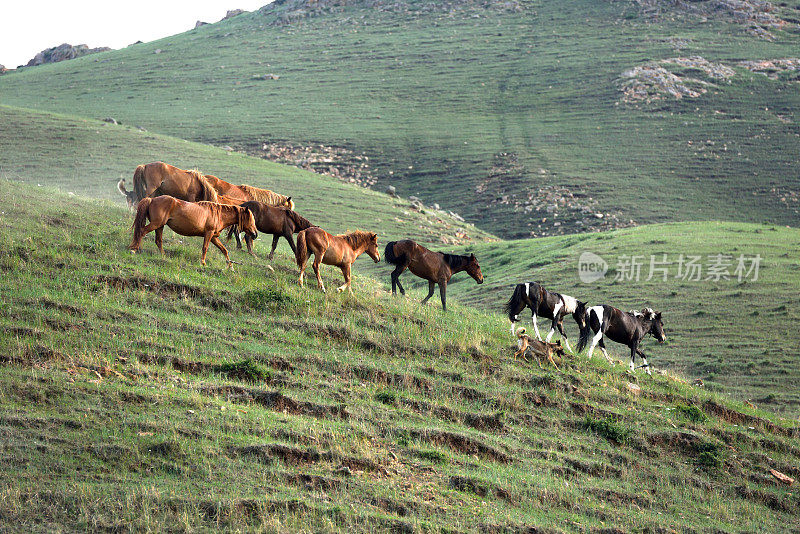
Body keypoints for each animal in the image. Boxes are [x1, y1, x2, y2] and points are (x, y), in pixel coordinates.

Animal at [130, 196, 258, 268]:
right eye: (251, 219)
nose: (255, 234)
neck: (219, 214)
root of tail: (152, 199)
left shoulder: (213, 237)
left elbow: (224, 250)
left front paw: (230, 266)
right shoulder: (209, 234)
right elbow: (205, 248)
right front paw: (203, 262)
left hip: (160, 226)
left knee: (158, 240)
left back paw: (163, 255)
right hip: (156, 224)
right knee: (142, 232)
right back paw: (135, 249)